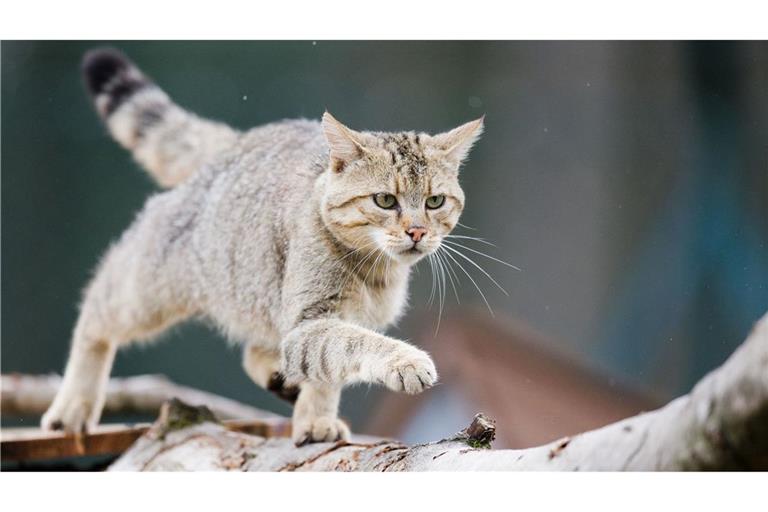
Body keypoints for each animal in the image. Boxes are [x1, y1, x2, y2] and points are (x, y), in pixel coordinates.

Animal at [42, 48, 484, 444]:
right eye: (386, 200)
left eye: (434, 201)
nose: (417, 232)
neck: (375, 271)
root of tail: (238, 140)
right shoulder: (312, 319)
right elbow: (351, 344)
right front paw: (404, 361)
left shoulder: (320, 324)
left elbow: (329, 369)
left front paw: (316, 419)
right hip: (152, 283)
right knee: (97, 310)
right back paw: (74, 405)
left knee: (256, 350)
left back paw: (280, 378)